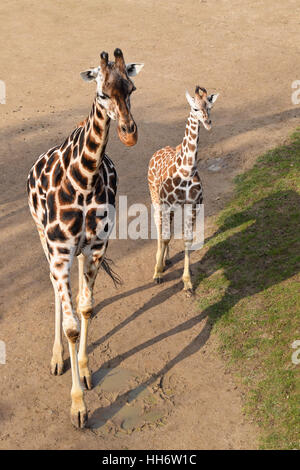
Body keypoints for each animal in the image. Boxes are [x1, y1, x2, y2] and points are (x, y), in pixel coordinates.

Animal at [26, 49, 143, 428]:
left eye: (131, 88)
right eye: (102, 93)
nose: (129, 133)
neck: (83, 181)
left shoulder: (95, 248)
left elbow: (87, 309)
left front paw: (86, 370)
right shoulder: (60, 253)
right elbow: (72, 327)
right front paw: (78, 406)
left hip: (80, 253)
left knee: (77, 298)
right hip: (44, 241)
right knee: (55, 292)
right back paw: (56, 358)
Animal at [149, 85, 219, 294]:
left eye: (210, 107)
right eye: (195, 108)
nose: (208, 123)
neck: (186, 170)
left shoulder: (193, 205)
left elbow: (186, 239)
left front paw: (187, 283)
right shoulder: (165, 203)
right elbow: (164, 236)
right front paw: (158, 273)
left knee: (168, 229)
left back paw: (166, 258)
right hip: (155, 198)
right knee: (159, 226)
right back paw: (160, 261)